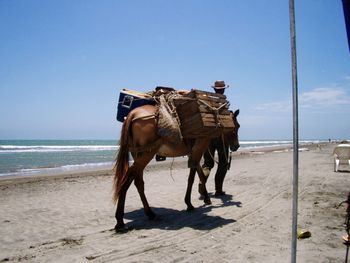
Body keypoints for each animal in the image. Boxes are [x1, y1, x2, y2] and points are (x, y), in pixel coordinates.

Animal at [113, 104, 239, 232]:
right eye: (237, 126)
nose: (236, 146)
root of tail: (132, 114)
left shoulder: (192, 154)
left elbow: (200, 175)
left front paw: (204, 197)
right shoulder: (197, 152)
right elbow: (193, 178)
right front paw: (191, 203)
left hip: (138, 155)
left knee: (138, 183)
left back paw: (150, 214)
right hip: (147, 154)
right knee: (126, 179)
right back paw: (120, 222)